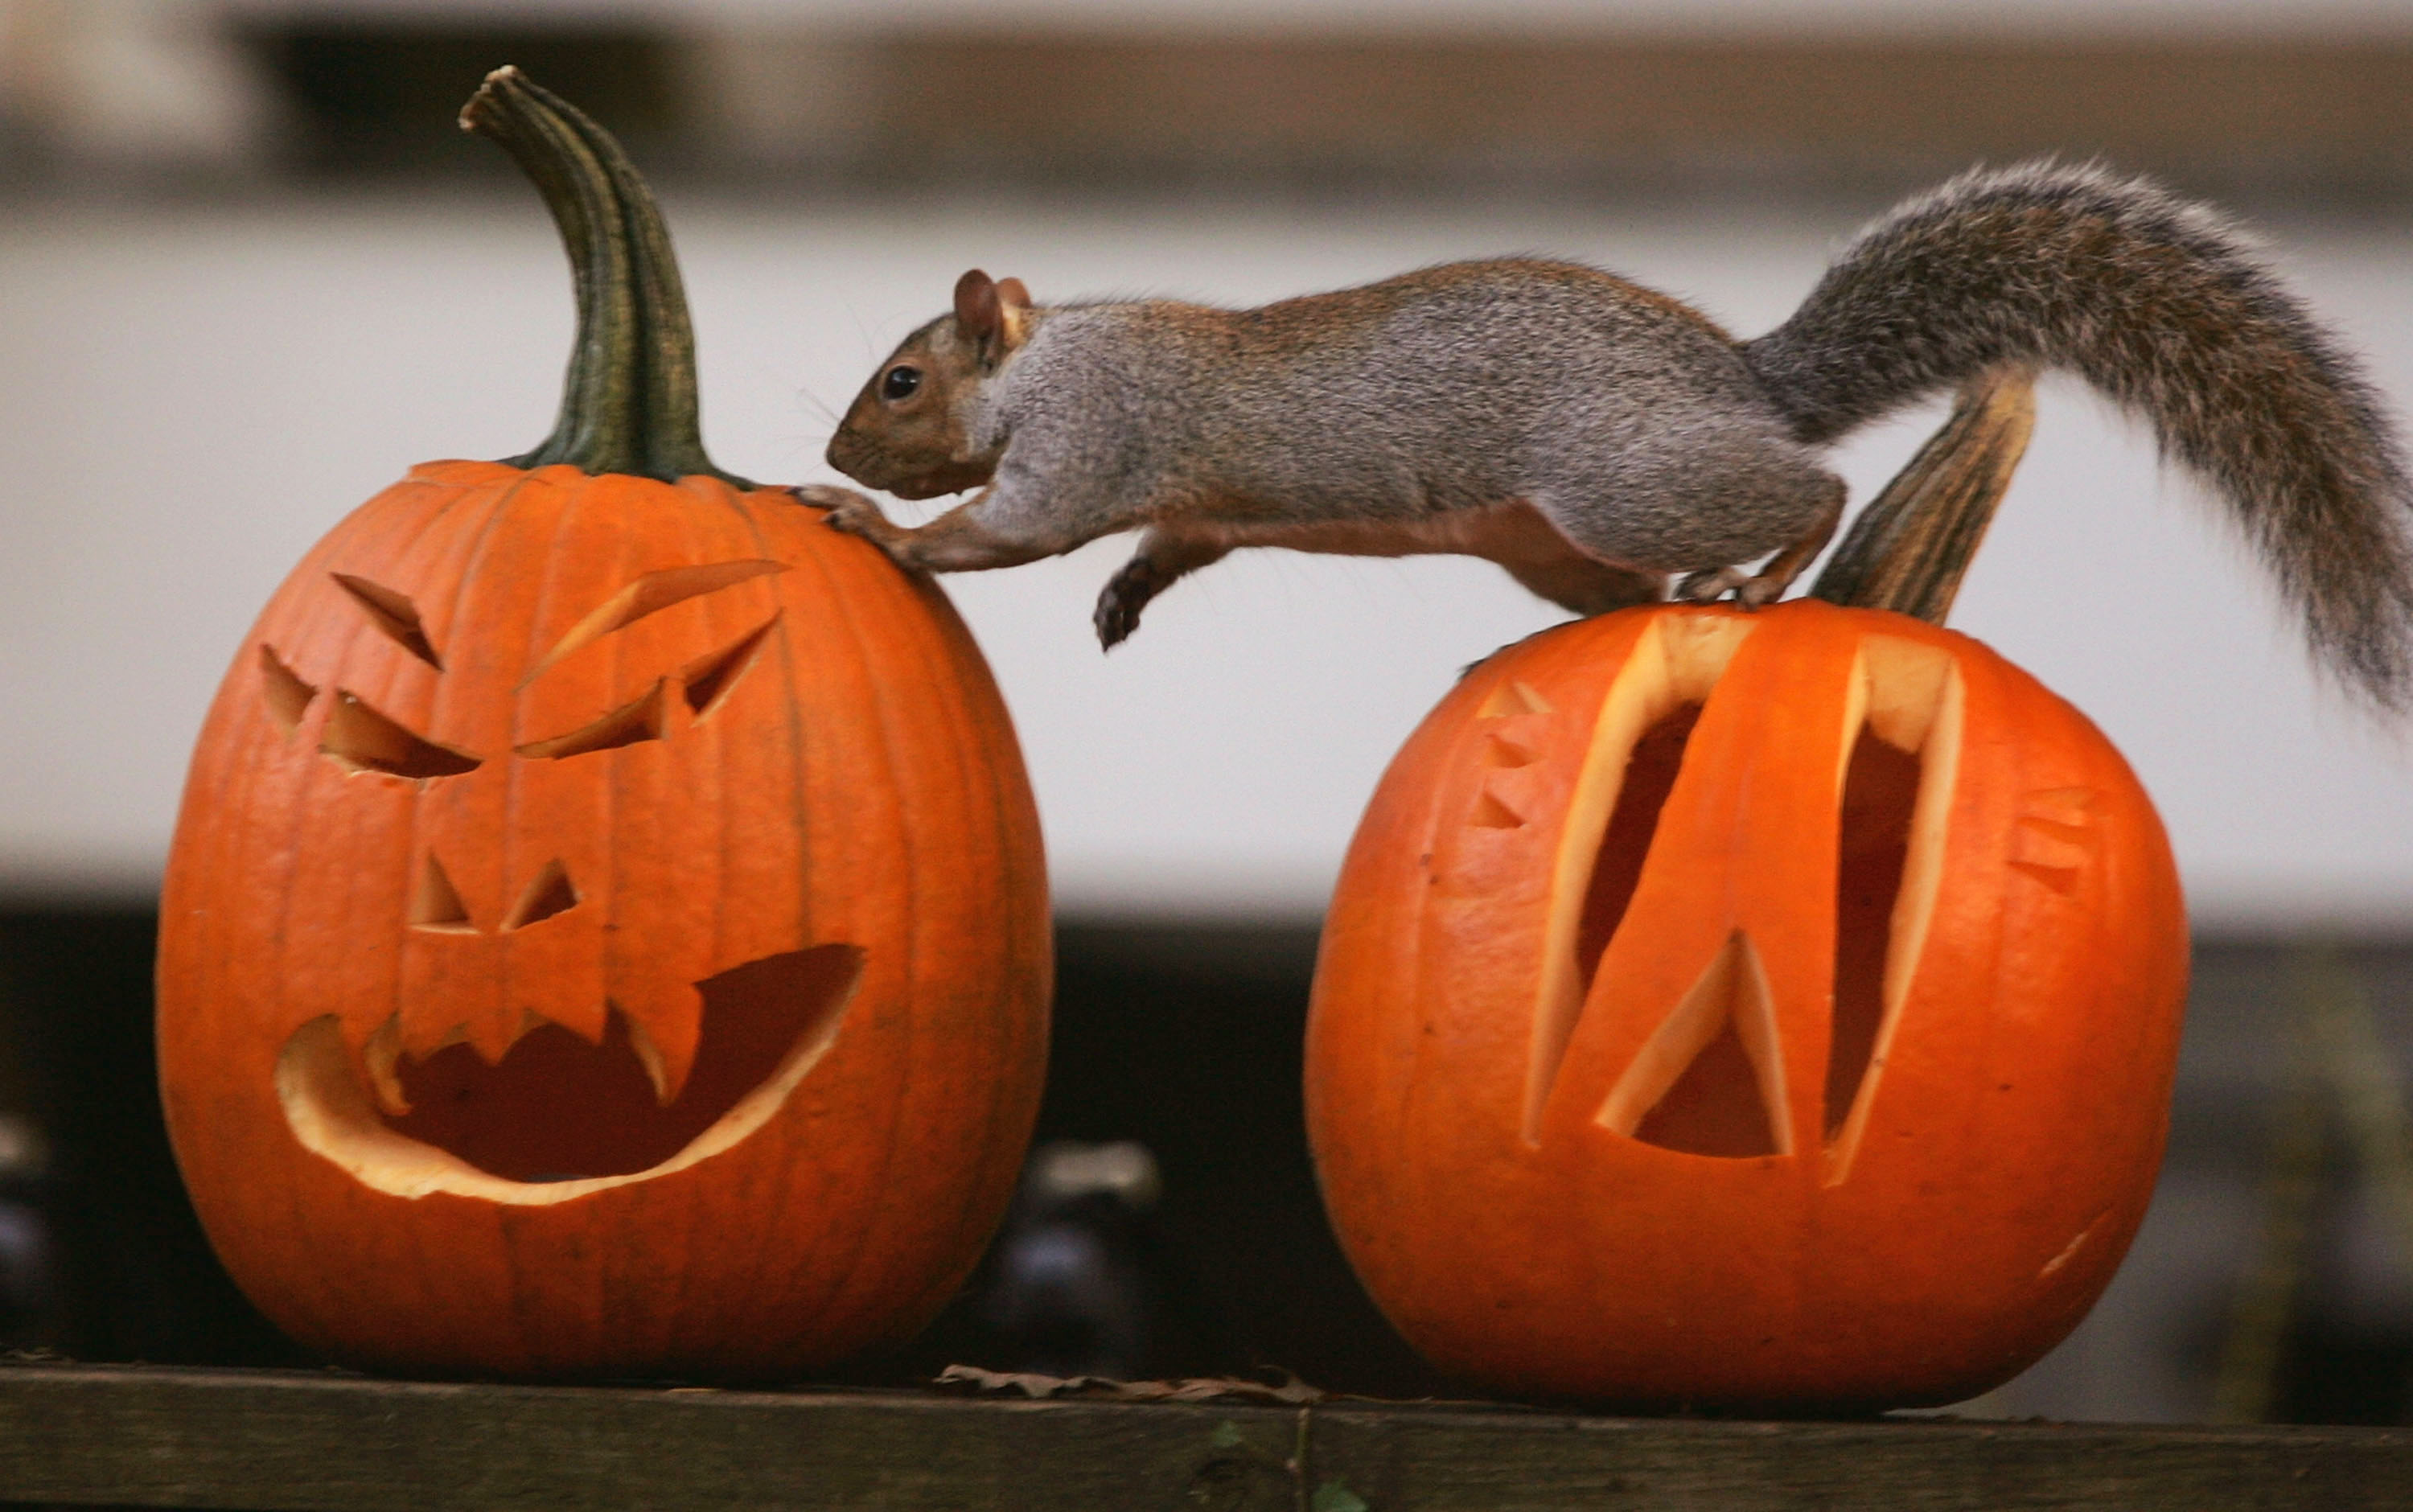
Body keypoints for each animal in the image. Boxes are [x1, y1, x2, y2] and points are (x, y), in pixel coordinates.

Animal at [804, 160, 2413, 709]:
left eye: (899, 381)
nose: (831, 457)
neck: (1047, 360)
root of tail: (1748, 385)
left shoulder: (1089, 438)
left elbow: (1007, 532)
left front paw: (879, 529)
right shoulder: (1191, 502)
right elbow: (1176, 545)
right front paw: (1125, 601)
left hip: (1624, 481)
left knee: (1808, 490)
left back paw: (1763, 578)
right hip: (1561, 543)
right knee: (1627, 600)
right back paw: (1536, 645)